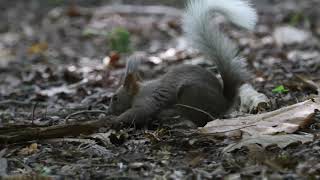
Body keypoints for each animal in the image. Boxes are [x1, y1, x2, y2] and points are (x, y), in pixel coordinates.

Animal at [109, 0, 258, 128]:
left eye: (115, 98)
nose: (109, 111)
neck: (138, 92)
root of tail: (223, 103)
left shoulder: (147, 102)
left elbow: (137, 113)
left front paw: (114, 120)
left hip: (191, 96)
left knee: (201, 120)